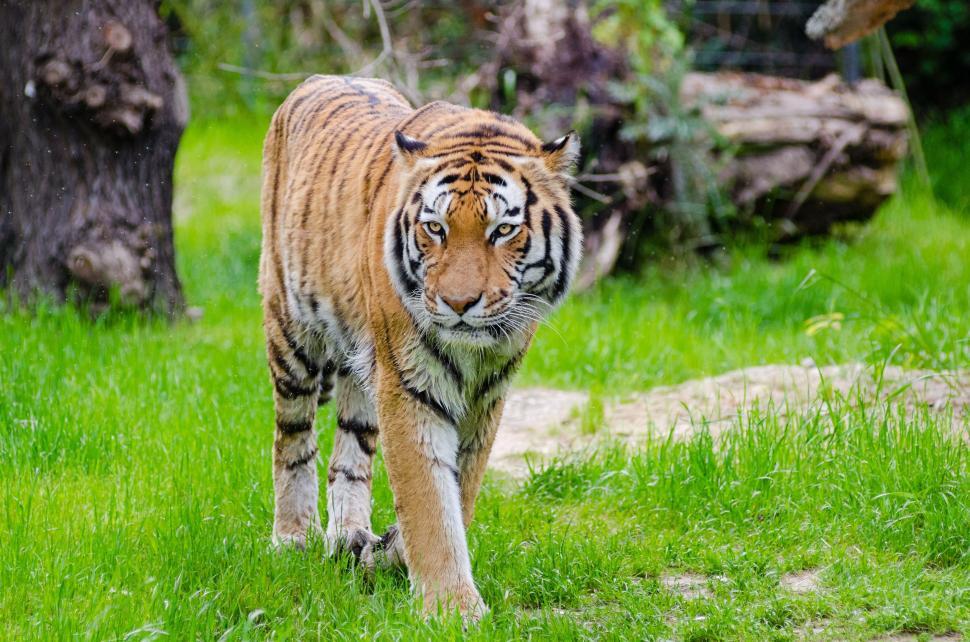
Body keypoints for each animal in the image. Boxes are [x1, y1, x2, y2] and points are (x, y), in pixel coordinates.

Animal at [259, 75, 581, 619]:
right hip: (292, 331)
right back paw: (293, 538)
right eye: (436, 228)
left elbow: (458, 492)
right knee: (293, 438)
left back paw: (348, 536)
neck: (475, 353)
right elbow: (429, 500)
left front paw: (389, 554)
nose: (458, 302)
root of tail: (317, 79)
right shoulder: (410, 387)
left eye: (503, 230)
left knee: (350, 452)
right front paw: (453, 609)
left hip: (361, 367)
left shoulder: (486, 397)